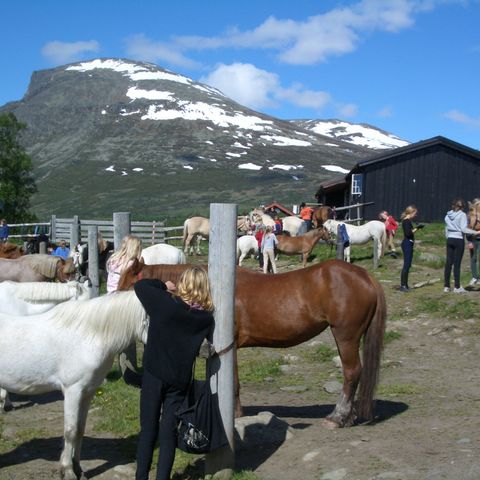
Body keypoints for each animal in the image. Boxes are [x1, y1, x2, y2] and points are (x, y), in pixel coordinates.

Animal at [0, 290, 148, 478]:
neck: (89, 336)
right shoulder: (73, 391)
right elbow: (70, 431)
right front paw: (68, 471)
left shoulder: (88, 392)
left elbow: (80, 430)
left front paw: (78, 469)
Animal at [119, 258, 386, 428]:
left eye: (127, 285)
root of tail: (364, 276)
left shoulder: (231, 346)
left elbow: (234, 383)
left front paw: (235, 415)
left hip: (345, 336)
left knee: (352, 373)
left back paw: (338, 417)